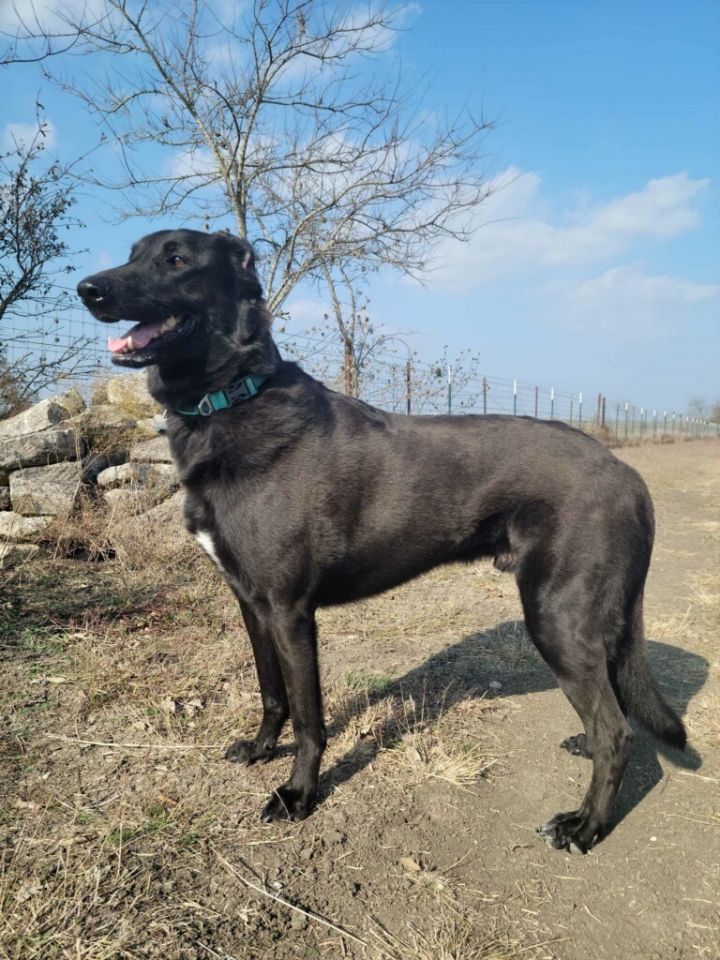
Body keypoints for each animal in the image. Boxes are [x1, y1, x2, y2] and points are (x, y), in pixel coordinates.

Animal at [79, 231, 688, 856]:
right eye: (132, 253)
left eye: (177, 259)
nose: (87, 289)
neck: (232, 400)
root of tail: (627, 473)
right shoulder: (250, 603)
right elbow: (272, 694)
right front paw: (260, 748)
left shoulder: (291, 612)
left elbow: (309, 718)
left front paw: (298, 795)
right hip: (592, 620)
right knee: (611, 715)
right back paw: (585, 753)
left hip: (557, 616)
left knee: (617, 732)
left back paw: (584, 826)